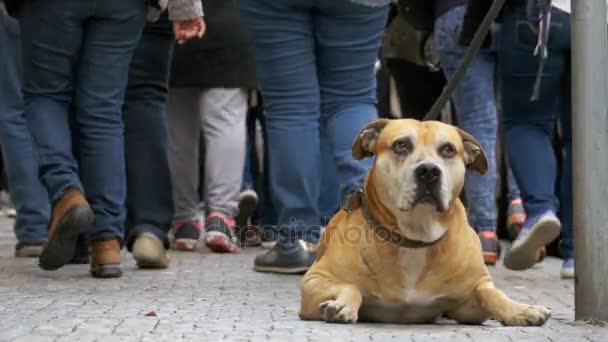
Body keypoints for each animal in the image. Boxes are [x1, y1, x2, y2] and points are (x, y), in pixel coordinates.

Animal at [300, 119, 552, 326]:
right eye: (401, 145)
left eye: (448, 149)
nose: (429, 170)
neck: (416, 237)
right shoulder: (314, 281)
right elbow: (351, 286)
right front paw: (342, 305)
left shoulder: (468, 304)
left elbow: (490, 292)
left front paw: (519, 310)